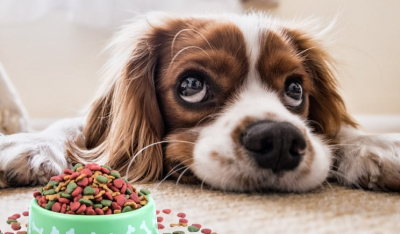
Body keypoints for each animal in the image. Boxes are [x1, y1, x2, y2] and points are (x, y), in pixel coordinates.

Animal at [0, 12, 400, 192]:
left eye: (295, 90)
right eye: (191, 85)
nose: (279, 140)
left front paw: (376, 144)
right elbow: (70, 127)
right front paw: (31, 144)